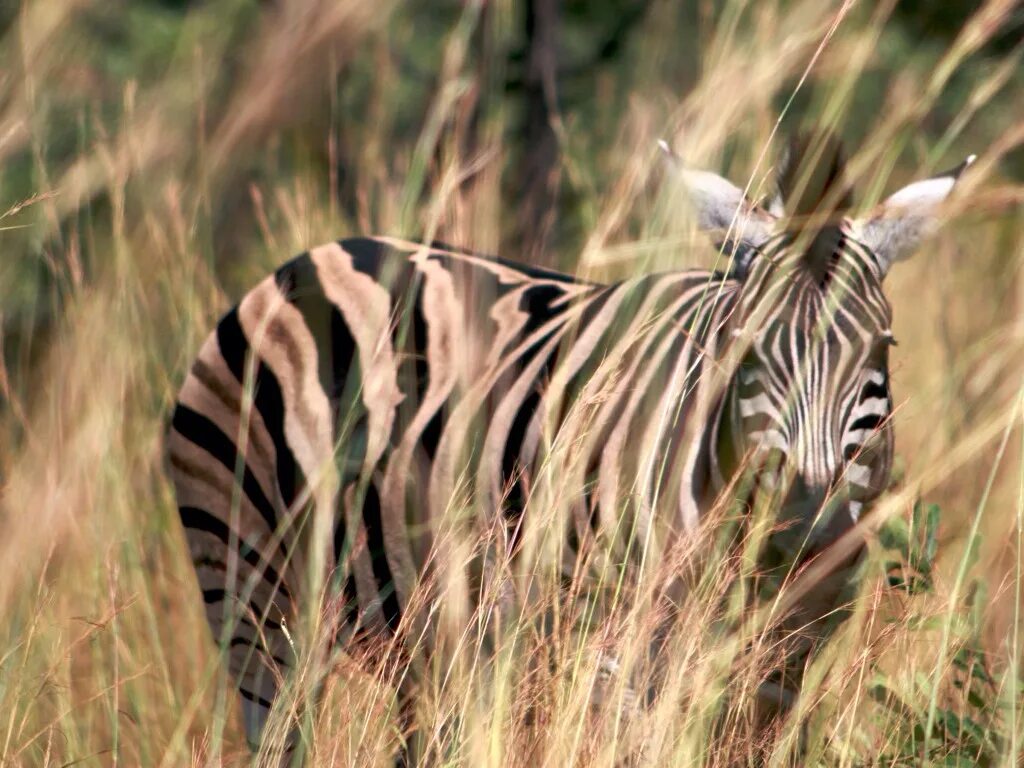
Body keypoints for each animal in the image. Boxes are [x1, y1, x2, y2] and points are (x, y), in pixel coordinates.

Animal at [165, 135, 966, 761]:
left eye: (881, 353)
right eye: (741, 351)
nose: (804, 528)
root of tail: (310, 257)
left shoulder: (781, 672)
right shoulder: (622, 657)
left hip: (422, 642)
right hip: (253, 597)